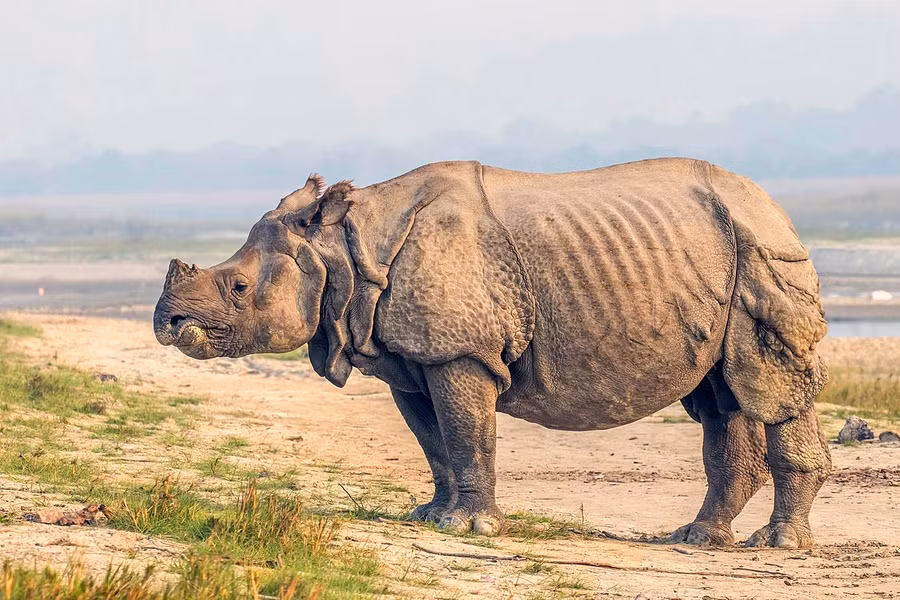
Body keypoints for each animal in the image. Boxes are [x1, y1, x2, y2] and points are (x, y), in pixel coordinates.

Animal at [154, 158, 831, 548]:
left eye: (239, 289)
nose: (170, 321)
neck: (343, 247)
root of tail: (774, 205)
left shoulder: (461, 350)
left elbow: (467, 430)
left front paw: (472, 530)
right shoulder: (412, 360)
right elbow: (436, 440)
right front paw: (431, 517)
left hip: (764, 247)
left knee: (770, 388)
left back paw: (776, 545)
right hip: (725, 252)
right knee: (720, 395)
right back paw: (698, 539)